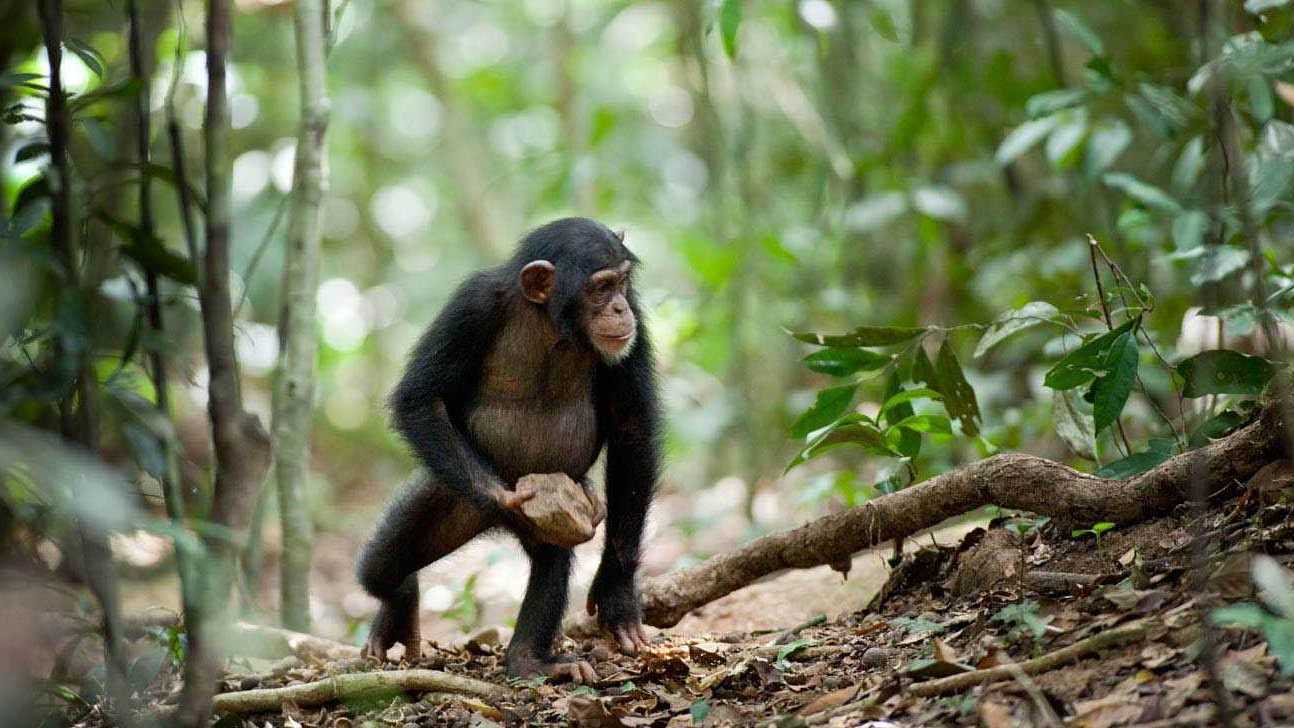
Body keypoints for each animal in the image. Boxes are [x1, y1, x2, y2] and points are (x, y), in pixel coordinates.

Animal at [354, 215, 662, 682]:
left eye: (623, 284)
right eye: (600, 288)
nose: (618, 309)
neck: (550, 320)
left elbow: (631, 429)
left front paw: (617, 594)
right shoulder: (471, 306)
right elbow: (421, 398)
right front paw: (507, 498)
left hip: (560, 505)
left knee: (551, 560)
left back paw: (528, 659)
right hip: (450, 492)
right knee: (381, 568)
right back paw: (400, 602)